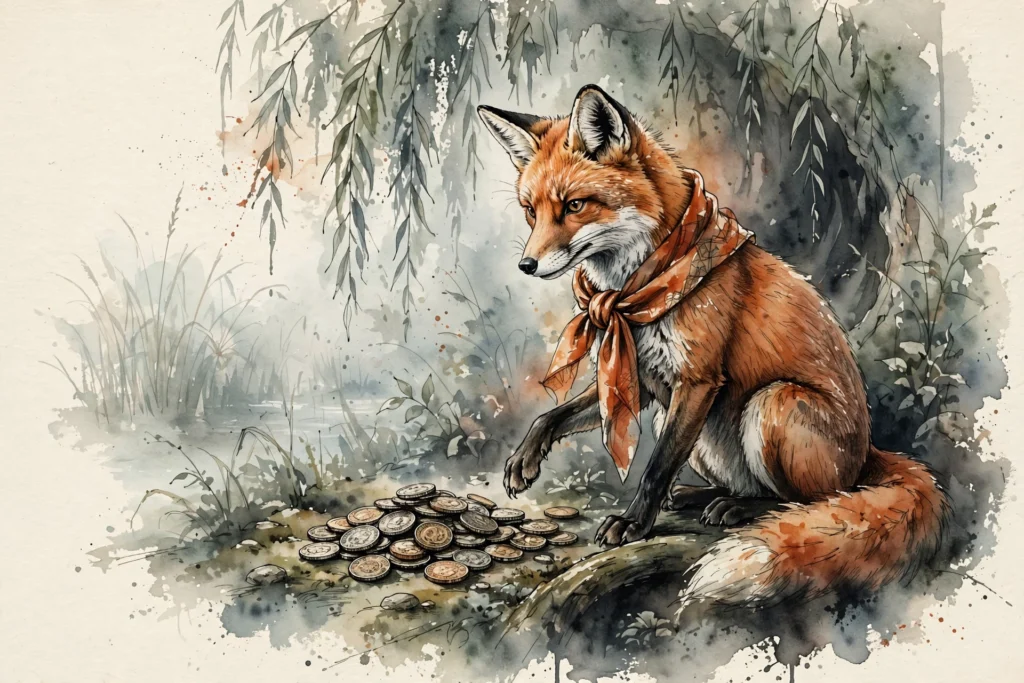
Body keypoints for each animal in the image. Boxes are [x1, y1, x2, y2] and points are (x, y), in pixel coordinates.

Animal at [477, 85, 948, 608]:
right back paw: (701, 497)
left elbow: (656, 466)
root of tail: (867, 455)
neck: (636, 292)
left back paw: (737, 510)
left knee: (804, 502)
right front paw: (525, 459)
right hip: (694, 427)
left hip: (774, 403)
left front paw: (633, 524)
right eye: (530, 210)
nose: (527, 264)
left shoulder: (698, 380)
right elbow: (552, 416)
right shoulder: (642, 381)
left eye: (576, 205)